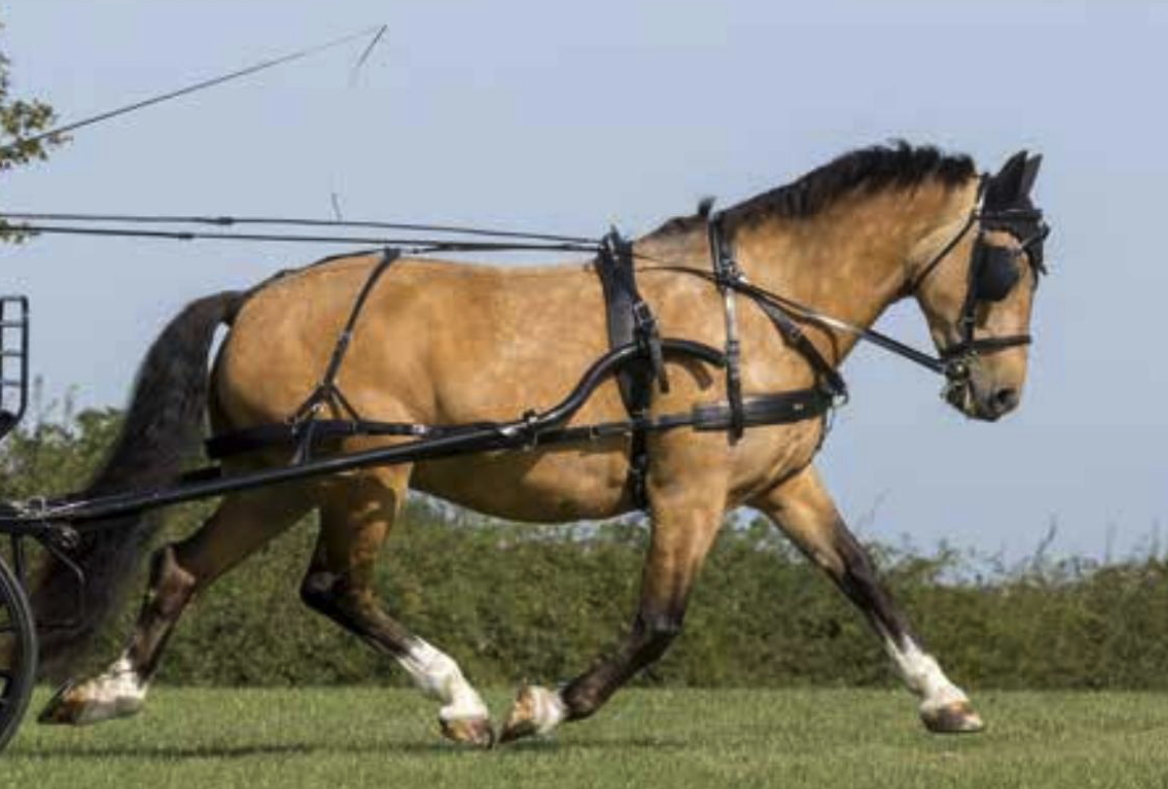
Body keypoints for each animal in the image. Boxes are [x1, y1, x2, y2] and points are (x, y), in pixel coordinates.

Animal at [30, 143, 1046, 746]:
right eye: (1004, 266)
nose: (1000, 394)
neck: (747, 309)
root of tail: (254, 297)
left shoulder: (785, 482)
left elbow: (865, 579)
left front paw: (943, 696)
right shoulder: (689, 492)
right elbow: (658, 621)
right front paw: (544, 704)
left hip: (280, 474)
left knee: (181, 564)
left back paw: (106, 691)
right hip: (369, 475)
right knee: (333, 587)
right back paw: (461, 700)